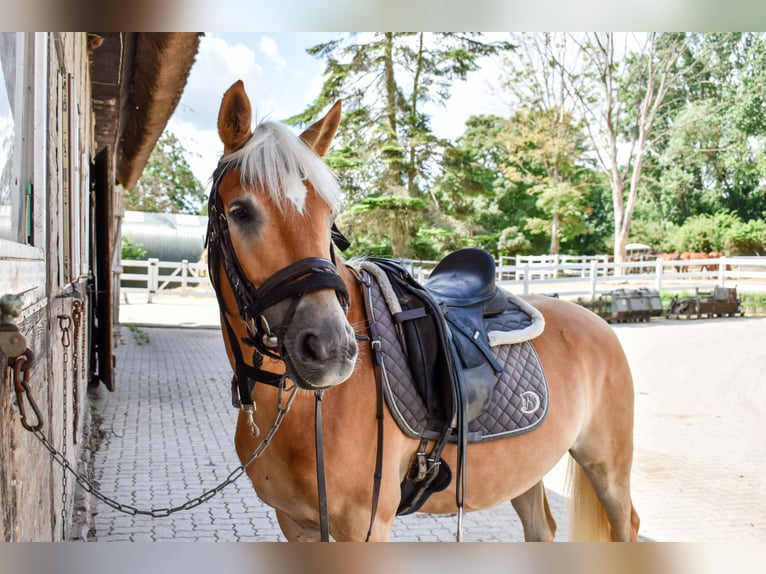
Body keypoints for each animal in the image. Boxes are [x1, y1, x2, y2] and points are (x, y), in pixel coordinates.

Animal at [206, 80, 640, 542]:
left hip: (608, 467)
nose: (331, 349)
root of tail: (597, 322)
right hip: (527, 468)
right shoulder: (295, 524)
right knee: (542, 528)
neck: (300, 410)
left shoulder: (365, 526)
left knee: (626, 524)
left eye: (329, 217)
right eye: (241, 212)